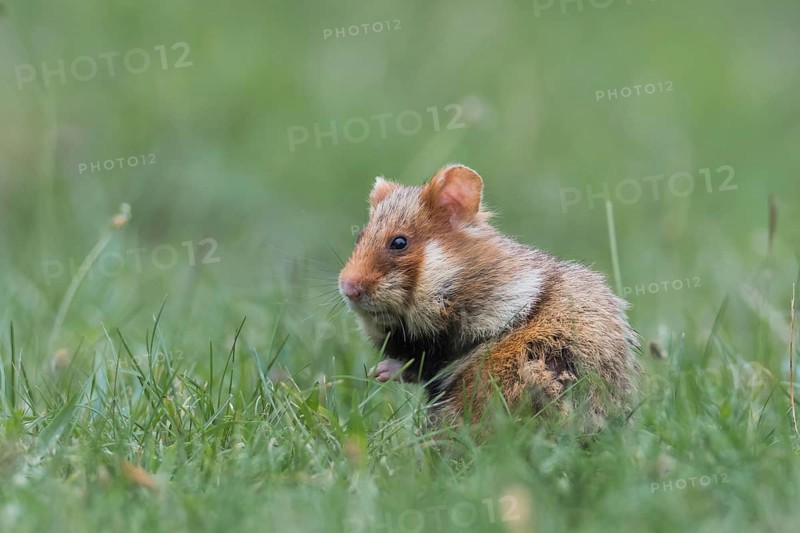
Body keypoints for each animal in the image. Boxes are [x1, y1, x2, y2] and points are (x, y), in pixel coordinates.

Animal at [338, 164, 640, 426]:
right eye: (359, 237)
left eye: (399, 242)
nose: (348, 288)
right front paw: (376, 373)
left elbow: (429, 362)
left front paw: (381, 371)